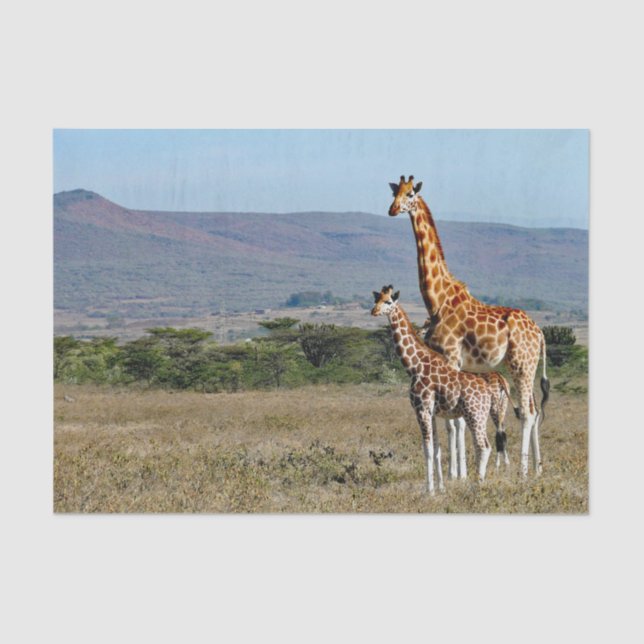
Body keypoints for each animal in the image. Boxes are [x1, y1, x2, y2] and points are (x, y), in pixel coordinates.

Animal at [371, 285, 493, 493]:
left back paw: (477, 484)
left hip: (473, 414)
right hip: (481, 415)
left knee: (482, 446)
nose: (374, 311)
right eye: (376, 299)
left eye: (388, 301)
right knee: (487, 445)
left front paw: (429, 491)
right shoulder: (432, 412)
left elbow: (427, 449)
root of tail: (487, 393)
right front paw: (441, 488)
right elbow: (436, 449)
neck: (414, 366)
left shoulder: (422, 408)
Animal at [389, 176, 549, 476]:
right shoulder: (451, 363)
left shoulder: (451, 357)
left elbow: (455, 421)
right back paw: (538, 469)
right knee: (533, 410)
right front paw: (458, 472)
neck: (437, 300)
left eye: (411, 194)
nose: (392, 210)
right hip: (527, 366)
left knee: (527, 412)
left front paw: (456, 474)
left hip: (520, 364)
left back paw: (522, 472)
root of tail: (540, 333)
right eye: (394, 193)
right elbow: (455, 420)